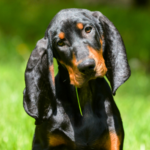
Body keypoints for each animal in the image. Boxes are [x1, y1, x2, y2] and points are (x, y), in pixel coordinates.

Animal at [23, 8, 130, 150]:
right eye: (60, 43)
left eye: (88, 29)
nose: (87, 67)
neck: (84, 96)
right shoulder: (42, 143)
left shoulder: (113, 140)